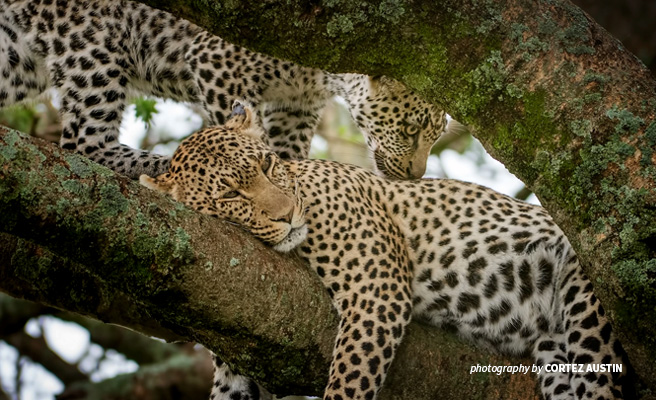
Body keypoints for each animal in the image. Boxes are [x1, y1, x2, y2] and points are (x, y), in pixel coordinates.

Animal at [141, 104, 632, 400]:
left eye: (266, 164)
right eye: (229, 195)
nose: (288, 214)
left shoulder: (376, 291)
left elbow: (348, 383)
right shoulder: (235, 357)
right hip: (555, 356)